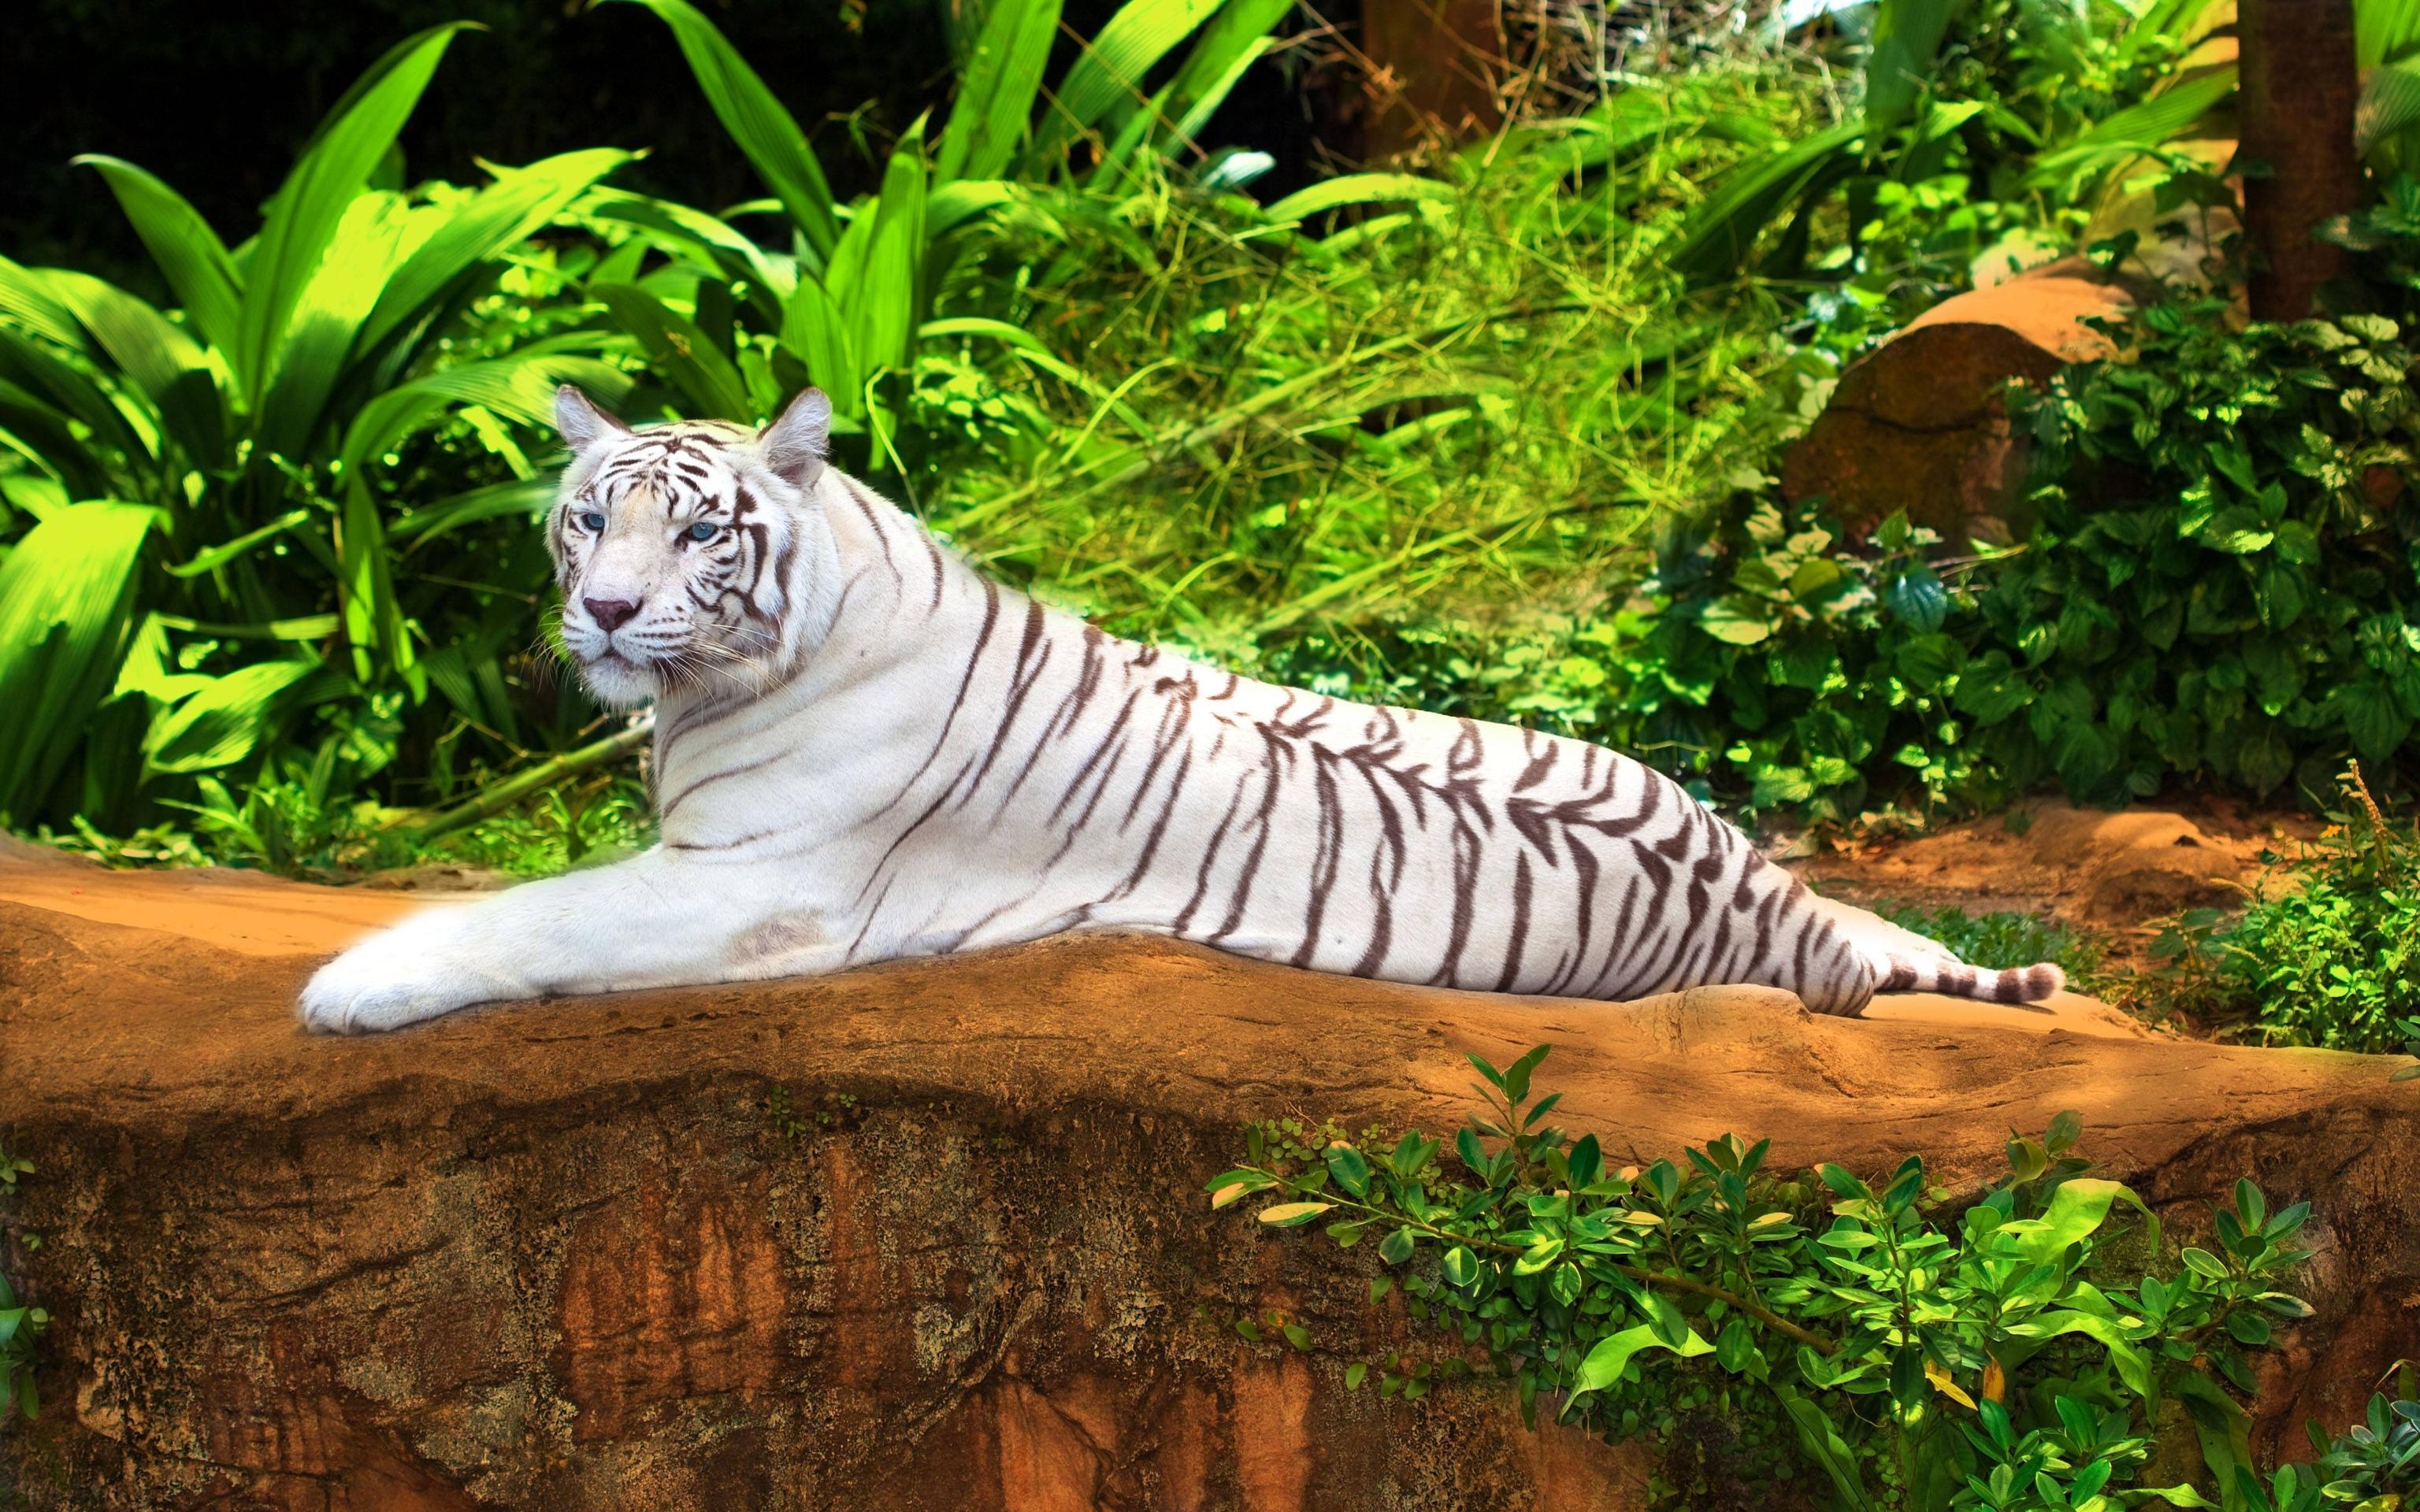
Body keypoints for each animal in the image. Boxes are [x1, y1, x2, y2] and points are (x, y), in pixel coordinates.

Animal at [288, 382, 2062, 1030]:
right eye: (588, 520)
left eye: (700, 533)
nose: (601, 610)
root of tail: (1759, 915)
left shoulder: (761, 886)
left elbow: (537, 911)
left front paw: (348, 986)